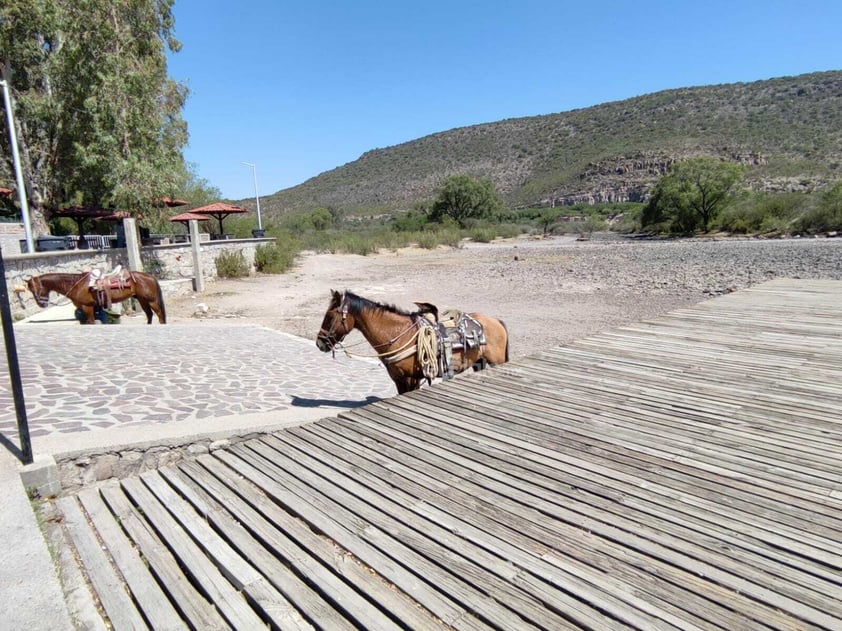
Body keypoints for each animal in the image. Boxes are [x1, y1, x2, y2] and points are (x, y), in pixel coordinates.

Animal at [28, 270, 166, 326]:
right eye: (30, 290)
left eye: (33, 288)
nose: (41, 304)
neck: (76, 284)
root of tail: (150, 277)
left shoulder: (87, 307)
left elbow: (91, 322)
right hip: (142, 300)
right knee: (149, 315)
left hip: (151, 301)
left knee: (159, 315)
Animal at [316, 288, 506, 392]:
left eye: (329, 316)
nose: (319, 343)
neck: (398, 336)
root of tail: (496, 321)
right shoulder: (398, 380)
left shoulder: (410, 379)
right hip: (479, 362)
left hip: (497, 361)